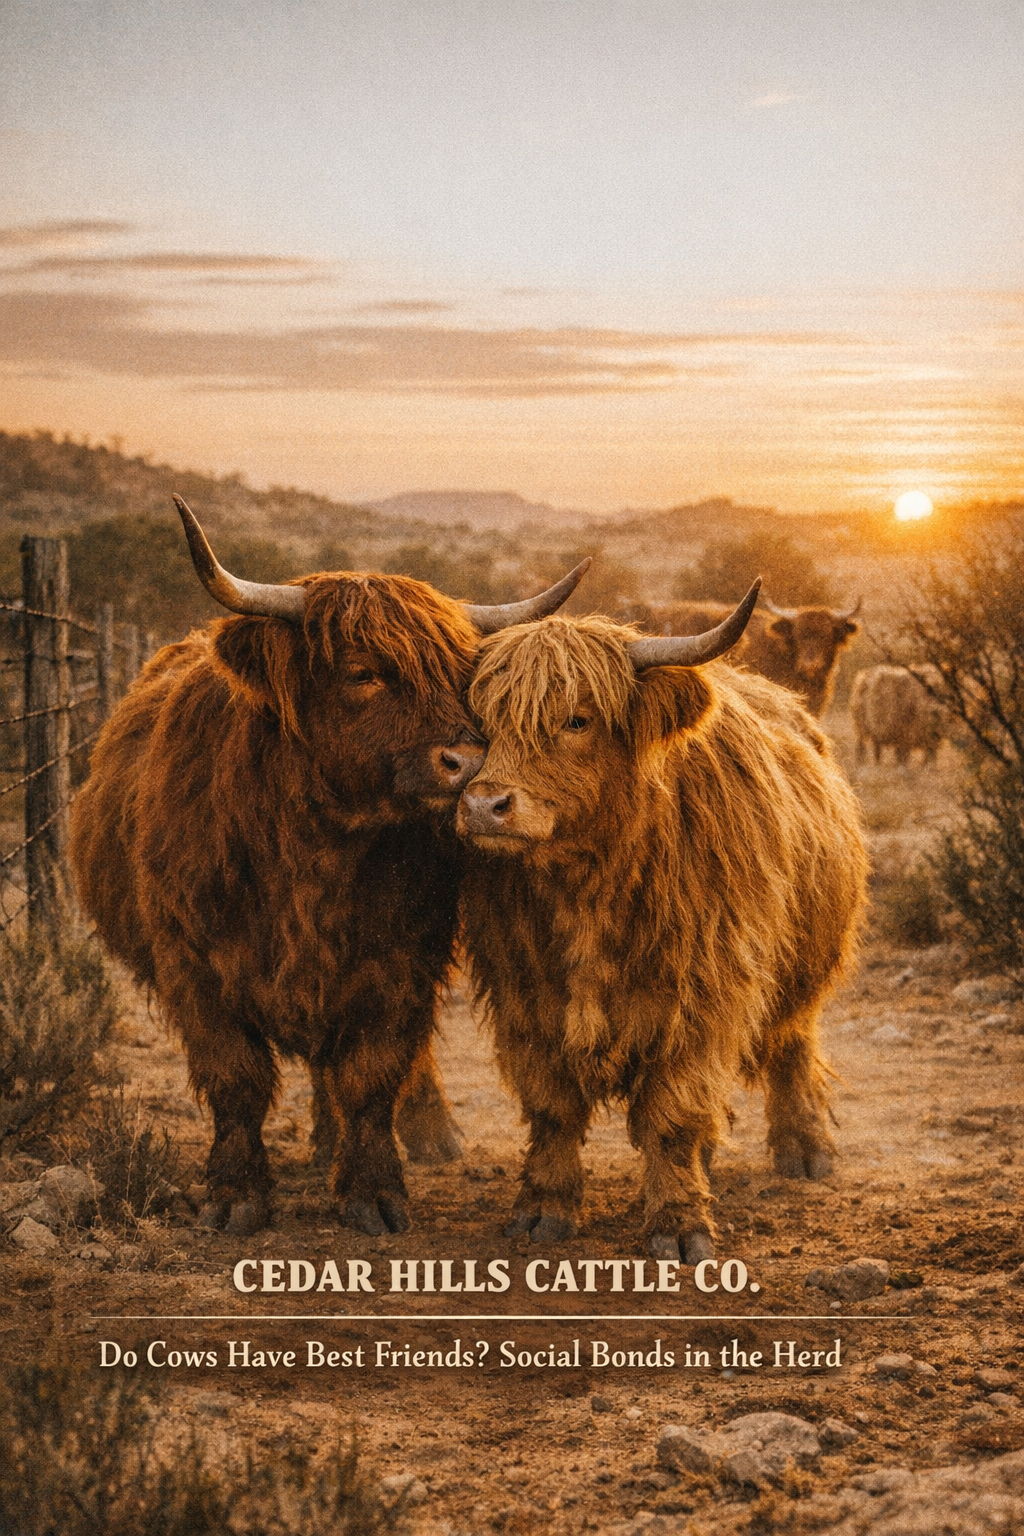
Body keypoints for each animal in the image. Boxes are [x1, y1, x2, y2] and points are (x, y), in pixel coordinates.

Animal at [70, 497, 588, 1238]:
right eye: (362, 672)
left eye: (462, 677)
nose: (466, 764)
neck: (315, 853)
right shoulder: (193, 966)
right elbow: (236, 1079)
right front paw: (235, 1195)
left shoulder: (402, 961)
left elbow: (372, 1076)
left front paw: (373, 1190)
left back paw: (417, 1136)